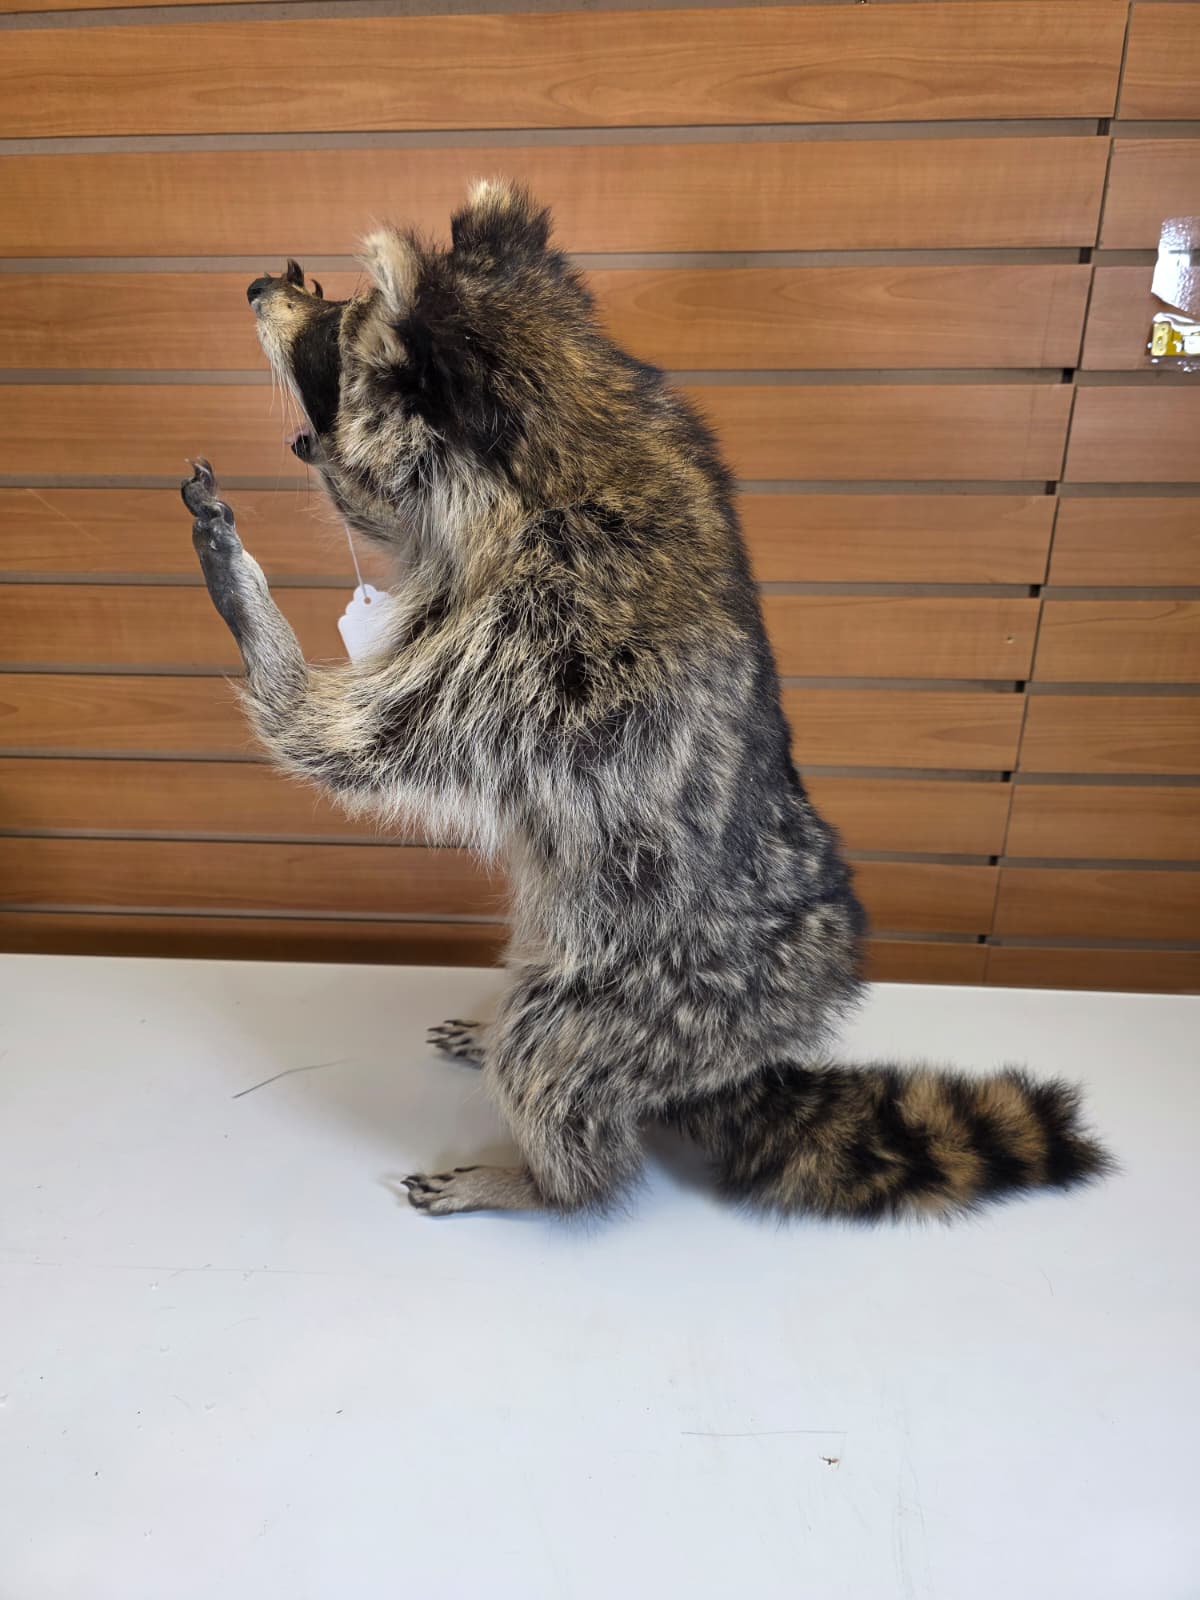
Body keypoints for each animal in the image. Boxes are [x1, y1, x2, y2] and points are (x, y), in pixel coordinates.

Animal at [181, 181, 1111, 1221]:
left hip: (648, 999)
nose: (264, 284)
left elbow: (351, 743)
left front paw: (252, 610)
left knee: (552, 1055)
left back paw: (544, 1178)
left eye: (336, 326)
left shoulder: (552, 638)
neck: (564, 416)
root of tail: (740, 1059)